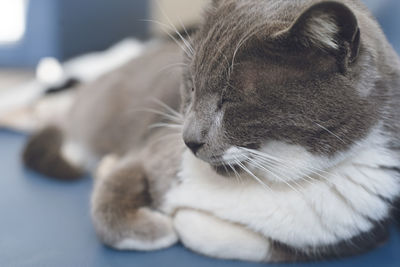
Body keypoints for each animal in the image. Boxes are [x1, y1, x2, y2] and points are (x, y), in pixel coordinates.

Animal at [22, 0, 400, 264]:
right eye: (191, 86)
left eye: (231, 100)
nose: (188, 140)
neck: (262, 179)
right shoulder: (152, 150)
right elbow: (110, 201)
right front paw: (157, 228)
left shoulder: (349, 235)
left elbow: (239, 240)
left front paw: (181, 220)